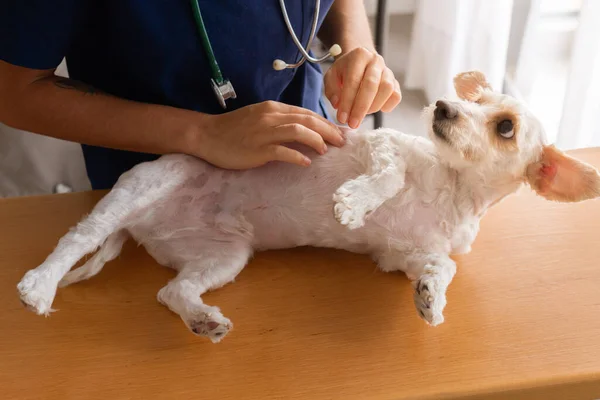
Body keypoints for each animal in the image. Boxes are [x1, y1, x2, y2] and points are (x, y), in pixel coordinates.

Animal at [16, 70, 596, 342]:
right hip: (145, 187)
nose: (443, 106)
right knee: (75, 240)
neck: (454, 187)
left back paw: (201, 319)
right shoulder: (380, 146)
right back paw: (39, 285)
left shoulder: (400, 256)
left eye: (505, 127)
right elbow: (388, 175)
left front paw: (431, 297)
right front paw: (355, 203)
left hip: (224, 257)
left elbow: (442, 265)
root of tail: (141, 227)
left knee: (169, 291)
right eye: (476, 100)